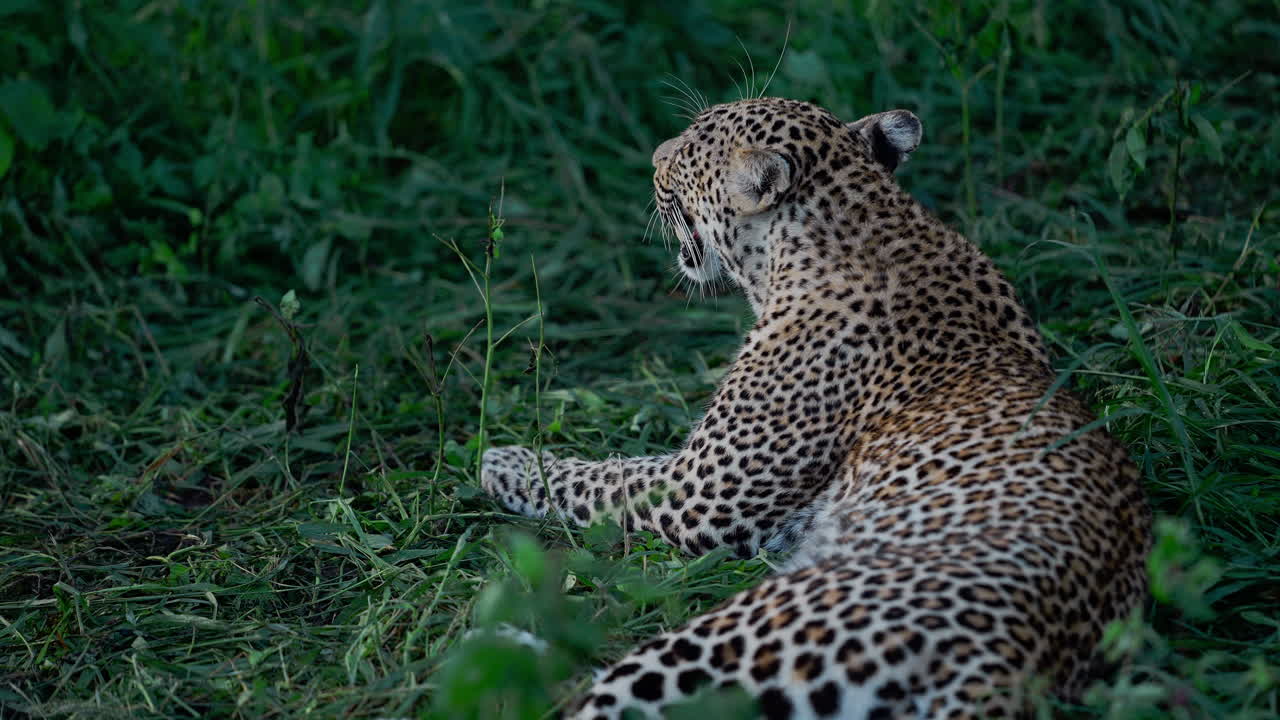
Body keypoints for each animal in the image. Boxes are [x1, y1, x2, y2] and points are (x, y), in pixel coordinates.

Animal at [481, 97, 1152, 719]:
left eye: (689, 149)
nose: (652, 158)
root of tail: (1007, 662)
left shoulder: (700, 495)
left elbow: (599, 476)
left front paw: (505, 460)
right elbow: (622, 464)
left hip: (747, 629)